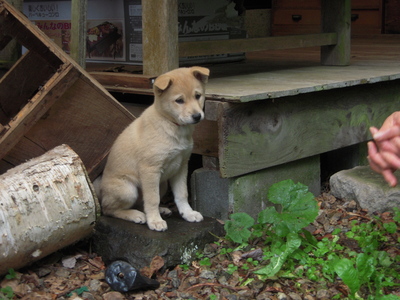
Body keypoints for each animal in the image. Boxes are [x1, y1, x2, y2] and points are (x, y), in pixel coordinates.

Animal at [97, 67, 209, 232]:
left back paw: (159, 211)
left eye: (198, 96)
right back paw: (136, 215)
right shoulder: (150, 169)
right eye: (179, 100)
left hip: (162, 184)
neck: (172, 126)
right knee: (109, 210)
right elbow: (152, 199)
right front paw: (155, 221)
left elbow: (182, 193)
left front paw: (188, 213)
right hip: (128, 190)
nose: (197, 116)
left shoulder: (181, 166)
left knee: (139, 203)